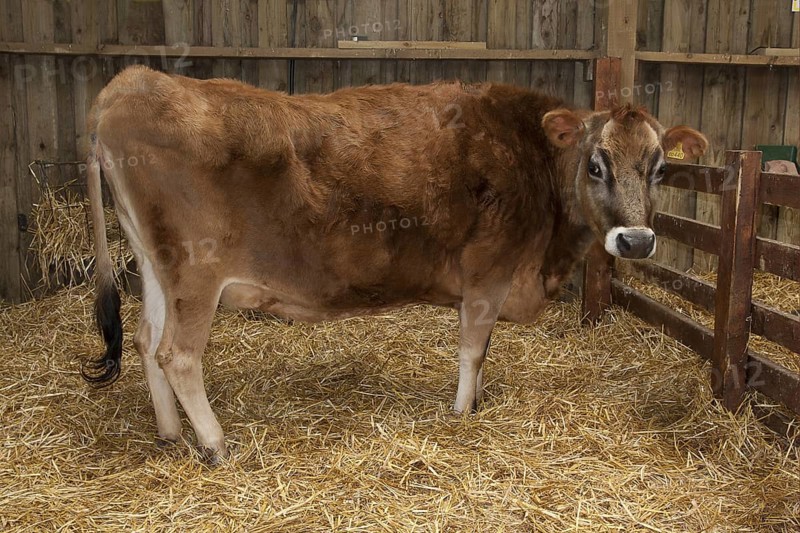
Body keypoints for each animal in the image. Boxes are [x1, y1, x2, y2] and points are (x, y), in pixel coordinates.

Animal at [82, 65, 707, 461]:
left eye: (659, 168)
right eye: (597, 165)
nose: (636, 241)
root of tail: (132, 82)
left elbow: (482, 352)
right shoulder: (489, 272)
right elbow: (472, 351)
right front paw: (462, 414)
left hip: (154, 265)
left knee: (145, 340)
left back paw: (170, 435)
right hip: (195, 273)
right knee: (178, 354)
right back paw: (214, 445)